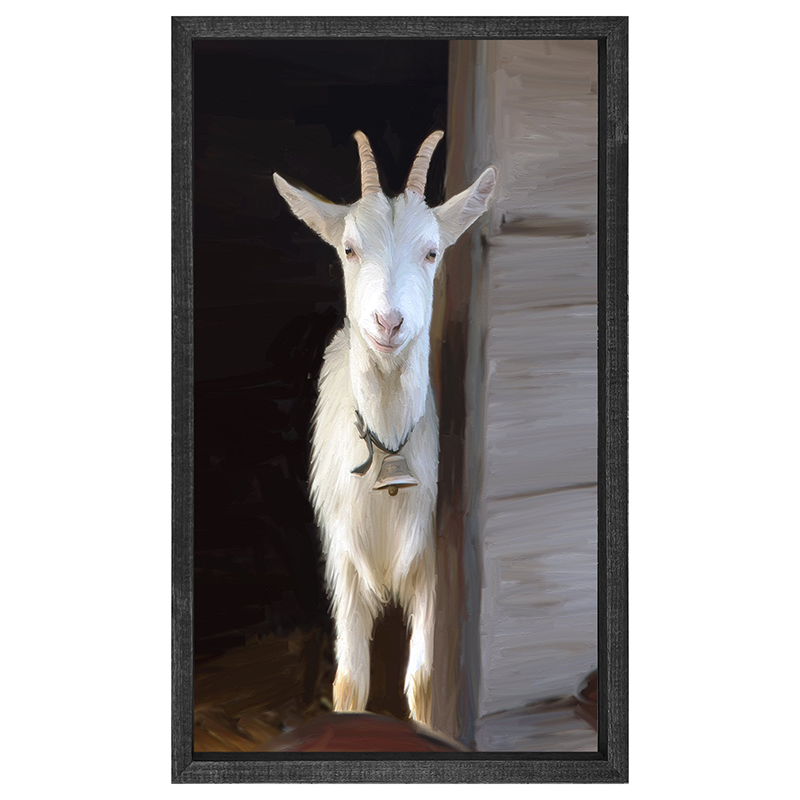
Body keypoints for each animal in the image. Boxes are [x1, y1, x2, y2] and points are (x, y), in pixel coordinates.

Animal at [274, 131, 496, 725]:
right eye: (349, 249)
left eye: (432, 251)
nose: (388, 323)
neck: (386, 447)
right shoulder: (344, 561)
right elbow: (351, 682)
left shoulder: (432, 566)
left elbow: (423, 683)